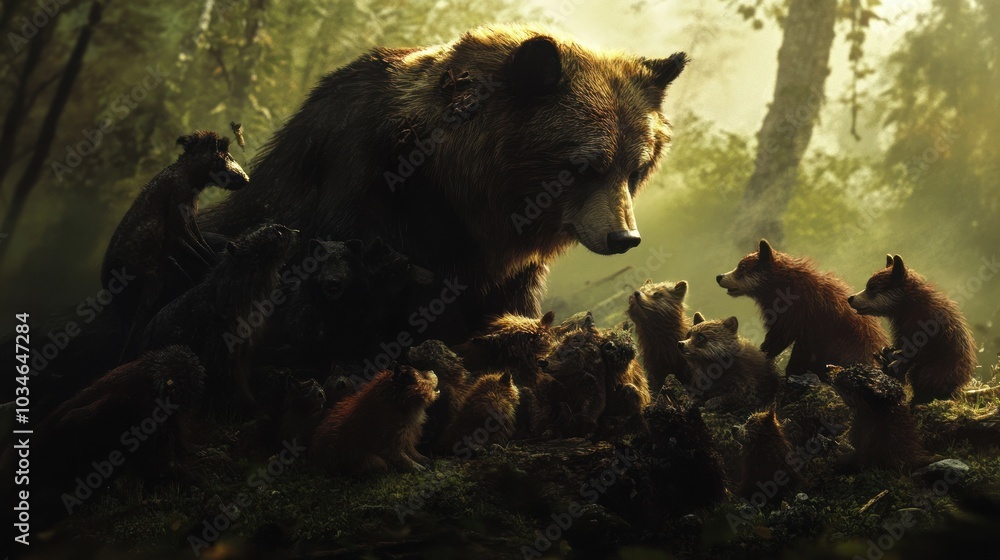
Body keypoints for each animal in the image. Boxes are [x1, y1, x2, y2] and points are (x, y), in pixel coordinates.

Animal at [103, 131, 249, 356]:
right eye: (222, 155)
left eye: (228, 153)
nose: (245, 178)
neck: (190, 178)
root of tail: (105, 278)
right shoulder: (178, 225)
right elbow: (198, 249)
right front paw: (213, 265)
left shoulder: (188, 221)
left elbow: (201, 246)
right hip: (151, 283)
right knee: (134, 336)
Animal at [310, 364, 438, 476]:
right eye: (417, 373)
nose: (432, 370)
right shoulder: (390, 439)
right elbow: (401, 457)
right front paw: (418, 467)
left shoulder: (406, 434)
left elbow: (412, 451)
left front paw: (425, 460)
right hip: (368, 458)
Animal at [848, 255, 977, 403]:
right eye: (868, 286)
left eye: (873, 288)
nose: (850, 298)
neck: (910, 306)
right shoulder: (902, 329)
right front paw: (887, 354)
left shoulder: (927, 327)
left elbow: (915, 351)